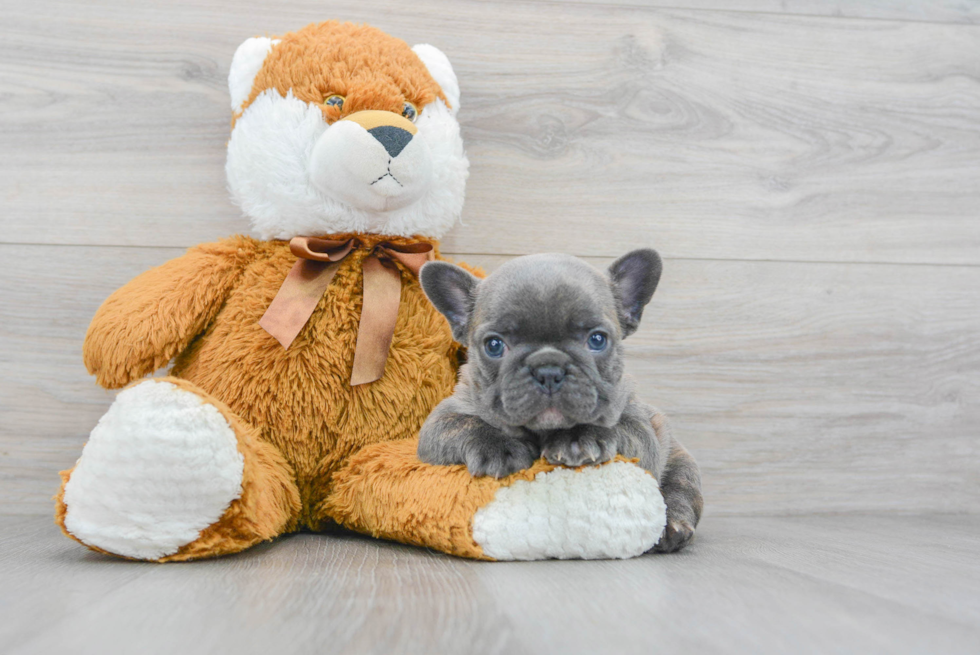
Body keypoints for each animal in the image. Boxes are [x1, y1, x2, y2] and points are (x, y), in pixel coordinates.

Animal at [418, 251, 700, 552]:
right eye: (494, 345)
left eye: (597, 340)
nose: (548, 369)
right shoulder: (441, 420)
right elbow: (463, 424)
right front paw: (499, 448)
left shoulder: (641, 428)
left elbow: (620, 427)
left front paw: (578, 438)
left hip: (682, 464)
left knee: (681, 491)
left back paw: (673, 527)